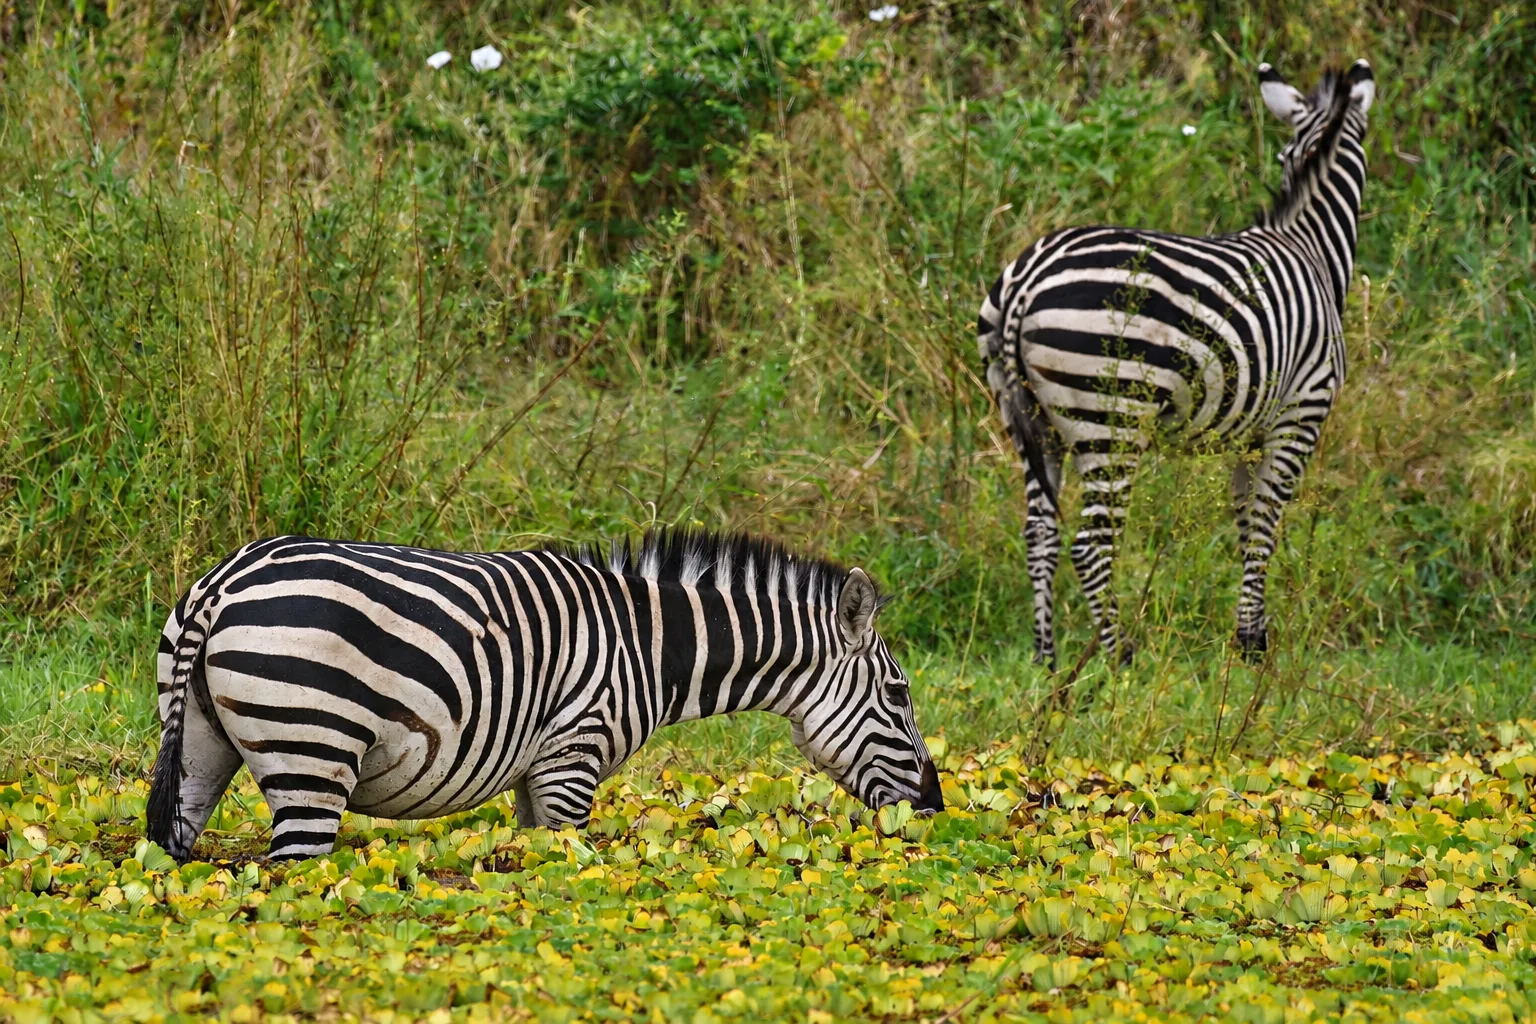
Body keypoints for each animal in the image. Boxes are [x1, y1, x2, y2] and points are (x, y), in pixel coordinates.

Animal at [146, 530, 943, 861]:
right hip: (312, 752)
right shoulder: (573, 758)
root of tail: (226, 581)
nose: (935, 809)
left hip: (200, 746)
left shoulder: (538, 772)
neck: (647, 646)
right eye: (899, 693)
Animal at [977, 59, 1375, 669]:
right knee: (1091, 544)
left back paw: (1046, 658)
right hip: (1111, 418)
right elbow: (1265, 526)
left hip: (1029, 421)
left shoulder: (1250, 433)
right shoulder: (1300, 416)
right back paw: (1120, 658)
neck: (1310, 246)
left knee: (1039, 532)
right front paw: (1252, 645)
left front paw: (1249, 635)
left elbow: (1246, 523)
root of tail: (1025, 279)